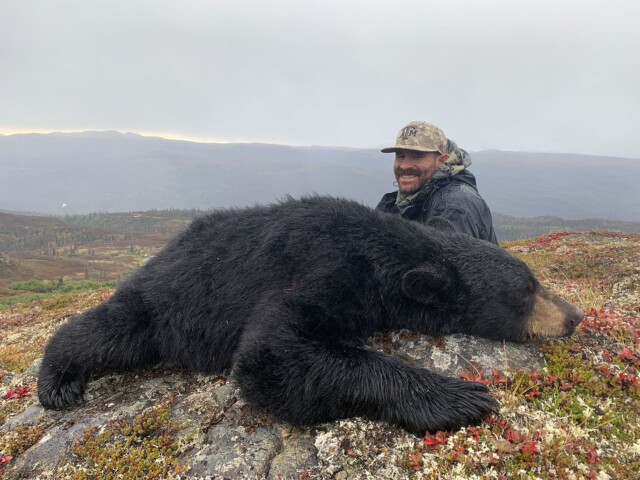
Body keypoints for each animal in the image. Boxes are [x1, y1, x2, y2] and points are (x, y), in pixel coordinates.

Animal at [38, 196, 584, 435]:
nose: (576, 315)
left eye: (533, 278)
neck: (384, 257)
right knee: (107, 331)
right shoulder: (321, 269)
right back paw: (57, 381)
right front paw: (457, 397)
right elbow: (270, 355)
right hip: (160, 303)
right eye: (526, 291)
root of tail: (159, 255)